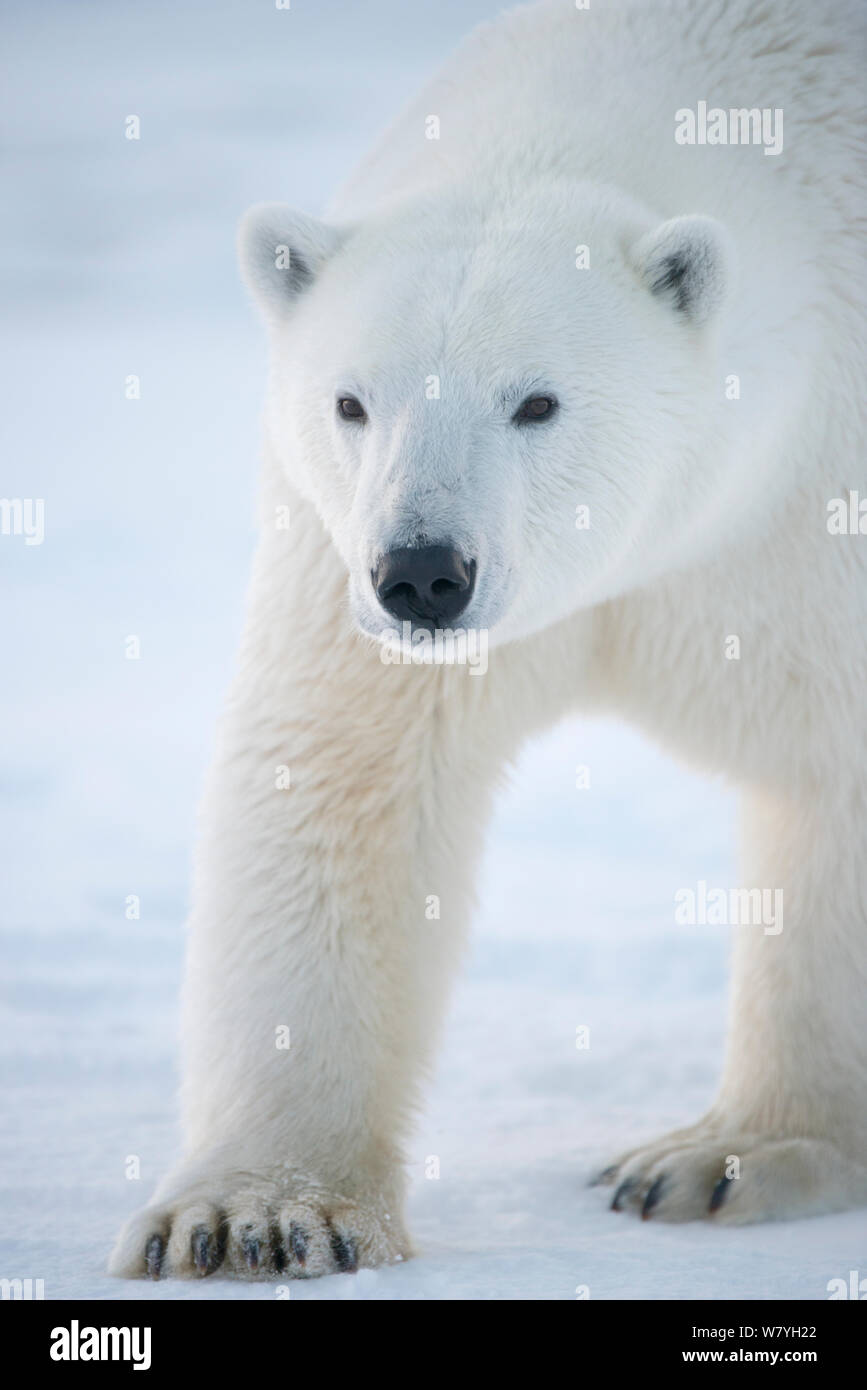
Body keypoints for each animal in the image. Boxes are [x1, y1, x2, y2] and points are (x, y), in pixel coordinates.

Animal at [109, 0, 867, 1278]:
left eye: (537, 401)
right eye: (351, 400)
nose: (424, 572)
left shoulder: (813, 518)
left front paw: (727, 1156)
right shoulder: (337, 552)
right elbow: (342, 774)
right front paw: (251, 1215)